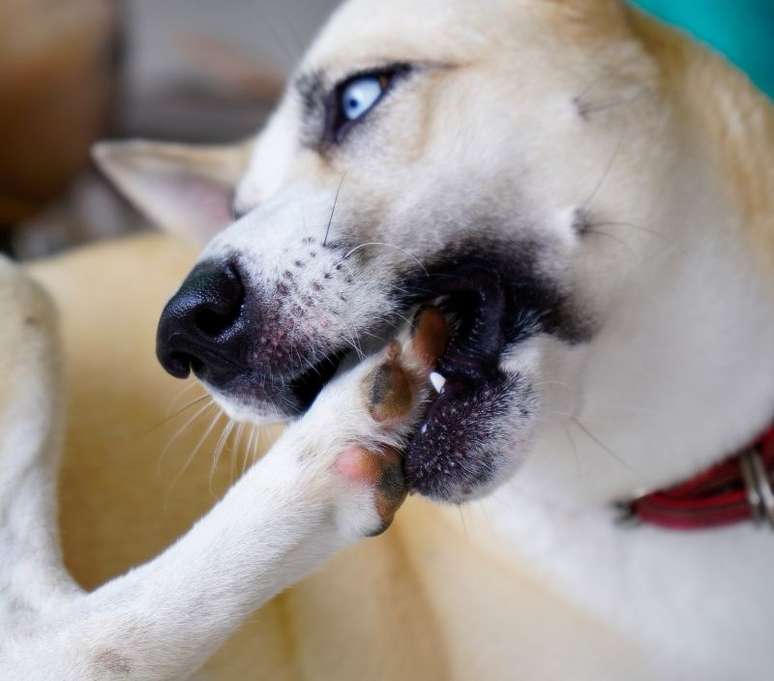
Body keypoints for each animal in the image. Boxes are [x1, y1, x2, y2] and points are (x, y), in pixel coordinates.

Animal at [1, 0, 774, 676]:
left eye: (358, 97)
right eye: (237, 210)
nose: (183, 330)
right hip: (25, 297)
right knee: (64, 642)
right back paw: (324, 459)